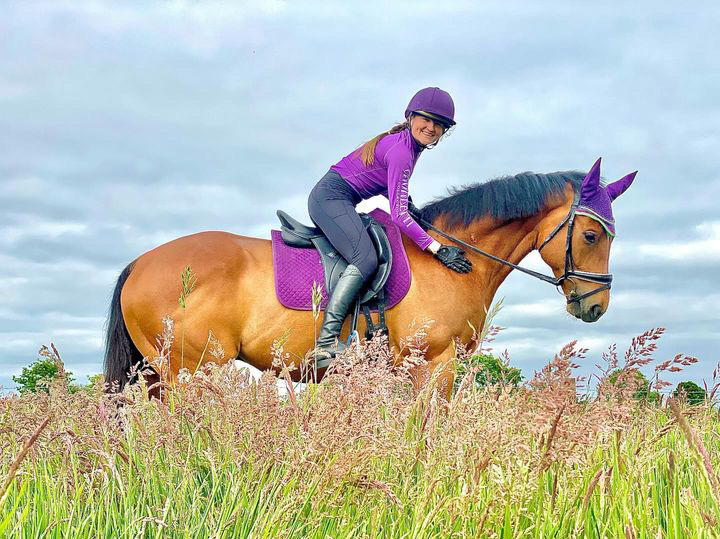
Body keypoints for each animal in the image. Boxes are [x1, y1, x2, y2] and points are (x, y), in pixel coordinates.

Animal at [102, 162, 636, 402]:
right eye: (591, 235)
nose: (595, 305)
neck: (452, 260)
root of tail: (140, 262)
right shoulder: (435, 365)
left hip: (158, 374)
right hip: (190, 372)